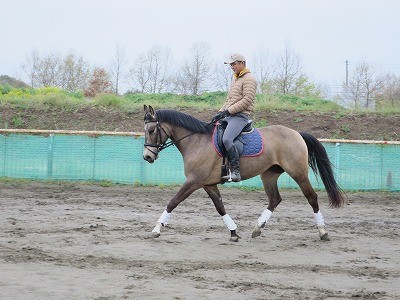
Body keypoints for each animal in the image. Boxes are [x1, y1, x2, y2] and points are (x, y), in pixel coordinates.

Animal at [142, 105, 342, 241]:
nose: (147, 156)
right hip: (269, 174)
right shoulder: (208, 184)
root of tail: (296, 133)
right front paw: (233, 232)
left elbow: (173, 202)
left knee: (312, 197)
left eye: (151, 130)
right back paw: (258, 228)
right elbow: (220, 207)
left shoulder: (194, 181)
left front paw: (157, 228)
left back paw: (323, 231)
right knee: (274, 199)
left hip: (298, 173)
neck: (196, 141)